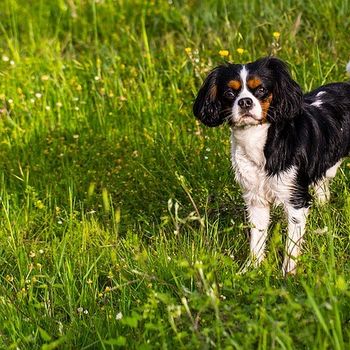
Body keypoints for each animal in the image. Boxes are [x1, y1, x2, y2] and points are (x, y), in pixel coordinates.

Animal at [193, 56, 350, 276]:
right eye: (229, 93)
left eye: (260, 89)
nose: (245, 101)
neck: (258, 139)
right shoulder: (256, 200)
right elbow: (257, 238)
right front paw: (252, 269)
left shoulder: (295, 198)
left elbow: (291, 244)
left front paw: (287, 274)